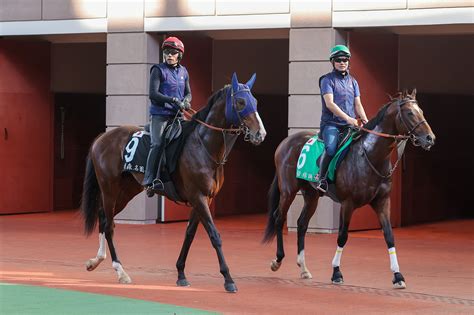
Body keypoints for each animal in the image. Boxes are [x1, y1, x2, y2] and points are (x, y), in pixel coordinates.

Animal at [82, 73, 266, 292]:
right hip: (110, 189)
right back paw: (121, 272)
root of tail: (102, 138)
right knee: (109, 225)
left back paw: (96, 260)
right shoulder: (198, 197)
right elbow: (214, 235)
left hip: (126, 192)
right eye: (240, 102)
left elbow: (189, 234)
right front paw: (228, 279)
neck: (204, 146)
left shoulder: (204, 199)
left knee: (103, 218)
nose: (260, 133)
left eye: (255, 101)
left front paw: (181, 273)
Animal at [264, 89, 436, 288]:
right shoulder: (348, 203)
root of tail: (287, 141)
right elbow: (342, 236)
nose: (430, 138)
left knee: (302, 224)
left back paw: (304, 268)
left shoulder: (382, 201)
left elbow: (389, 235)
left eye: (421, 111)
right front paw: (336, 272)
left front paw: (398, 275)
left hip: (311, 195)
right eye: (409, 113)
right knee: (279, 218)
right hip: (288, 190)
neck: (369, 155)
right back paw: (277, 260)